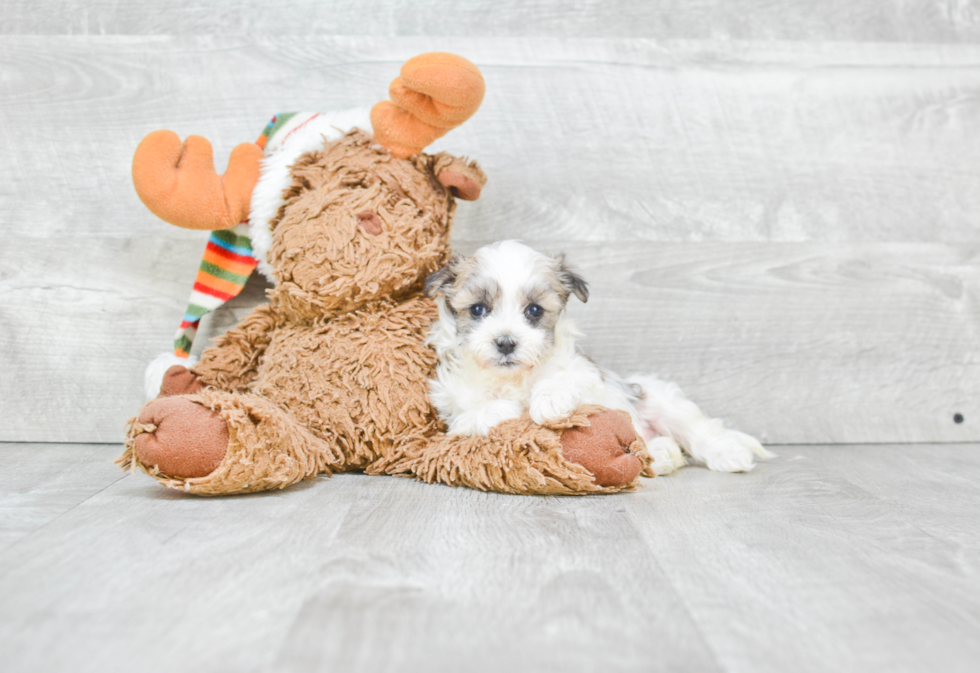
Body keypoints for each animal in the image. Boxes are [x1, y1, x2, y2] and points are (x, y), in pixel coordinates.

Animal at [424, 240, 768, 472]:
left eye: (534, 311)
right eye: (477, 310)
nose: (506, 343)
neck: (512, 377)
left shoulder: (585, 374)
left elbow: (566, 379)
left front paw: (548, 401)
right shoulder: (453, 418)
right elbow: (476, 414)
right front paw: (508, 407)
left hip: (660, 401)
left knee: (698, 430)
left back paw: (730, 455)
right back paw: (659, 456)